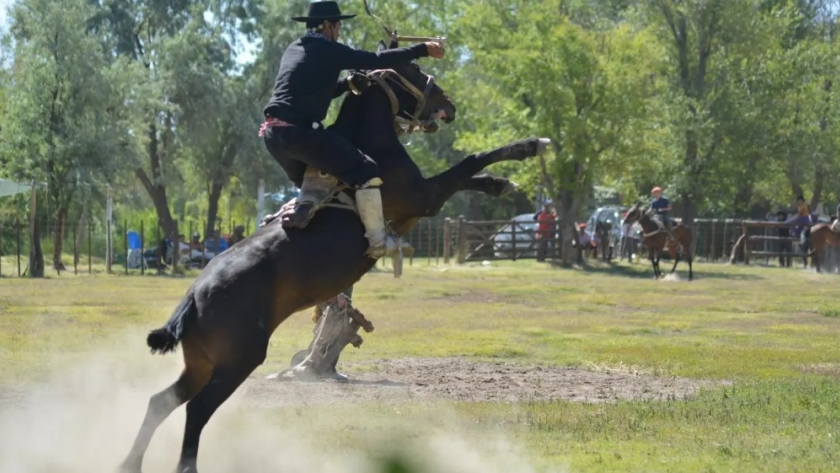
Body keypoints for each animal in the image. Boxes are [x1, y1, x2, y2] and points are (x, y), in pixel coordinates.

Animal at [120, 37, 552, 472]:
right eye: (414, 71)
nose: (448, 104)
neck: (368, 140)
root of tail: (195, 294)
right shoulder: (425, 198)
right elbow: (470, 162)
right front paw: (528, 146)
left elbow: (472, 172)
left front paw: (500, 183)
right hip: (236, 361)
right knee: (196, 410)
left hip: (202, 362)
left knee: (161, 402)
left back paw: (130, 462)